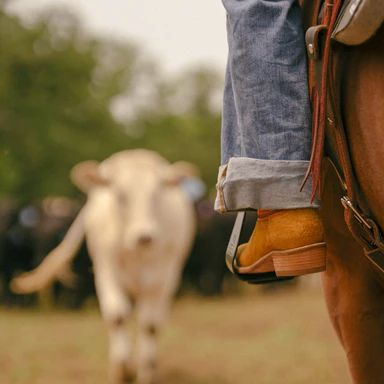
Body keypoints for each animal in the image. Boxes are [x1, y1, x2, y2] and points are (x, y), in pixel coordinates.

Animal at [11, 150, 198, 384]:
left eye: (156, 194)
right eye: (120, 195)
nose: (144, 236)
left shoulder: (161, 277)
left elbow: (149, 324)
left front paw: (147, 371)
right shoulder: (106, 271)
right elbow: (117, 316)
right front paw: (122, 370)